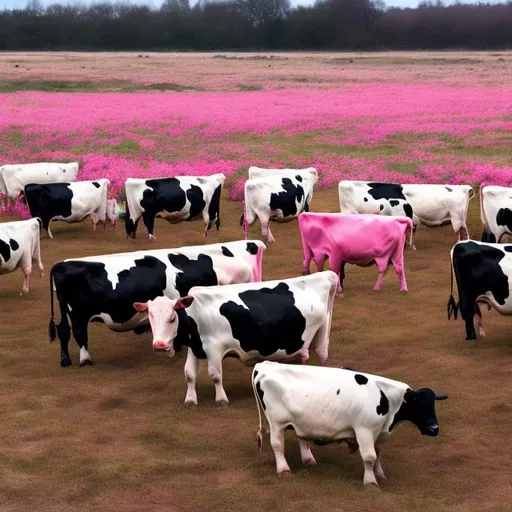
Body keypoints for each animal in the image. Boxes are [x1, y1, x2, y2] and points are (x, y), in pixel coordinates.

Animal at [48, 240, 266, 368]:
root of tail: (60, 264)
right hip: (77, 313)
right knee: (78, 333)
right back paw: (85, 359)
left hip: (66, 311)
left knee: (63, 330)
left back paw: (65, 360)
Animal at [134, 270, 338, 406]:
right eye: (150, 317)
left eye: (171, 317)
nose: (159, 345)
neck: (196, 315)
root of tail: (325, 275)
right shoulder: (195, 347)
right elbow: (189, 374)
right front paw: (190, 399)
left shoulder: (214, 348)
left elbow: (215, 375)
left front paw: (221, 399)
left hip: (321, 336)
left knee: (323, 358)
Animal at [252, 362, 448, 486]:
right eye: (419, 405)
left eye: (432, 405)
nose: (434, 429)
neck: (385, 398)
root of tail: (264, 364)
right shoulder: (364, 430)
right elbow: (369, 457)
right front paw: (370, 482)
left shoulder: (376, 433)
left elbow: (378, 453)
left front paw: (380, 474)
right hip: (277, 422)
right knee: (277, 444)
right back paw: (284, 470)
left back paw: (308, 460)